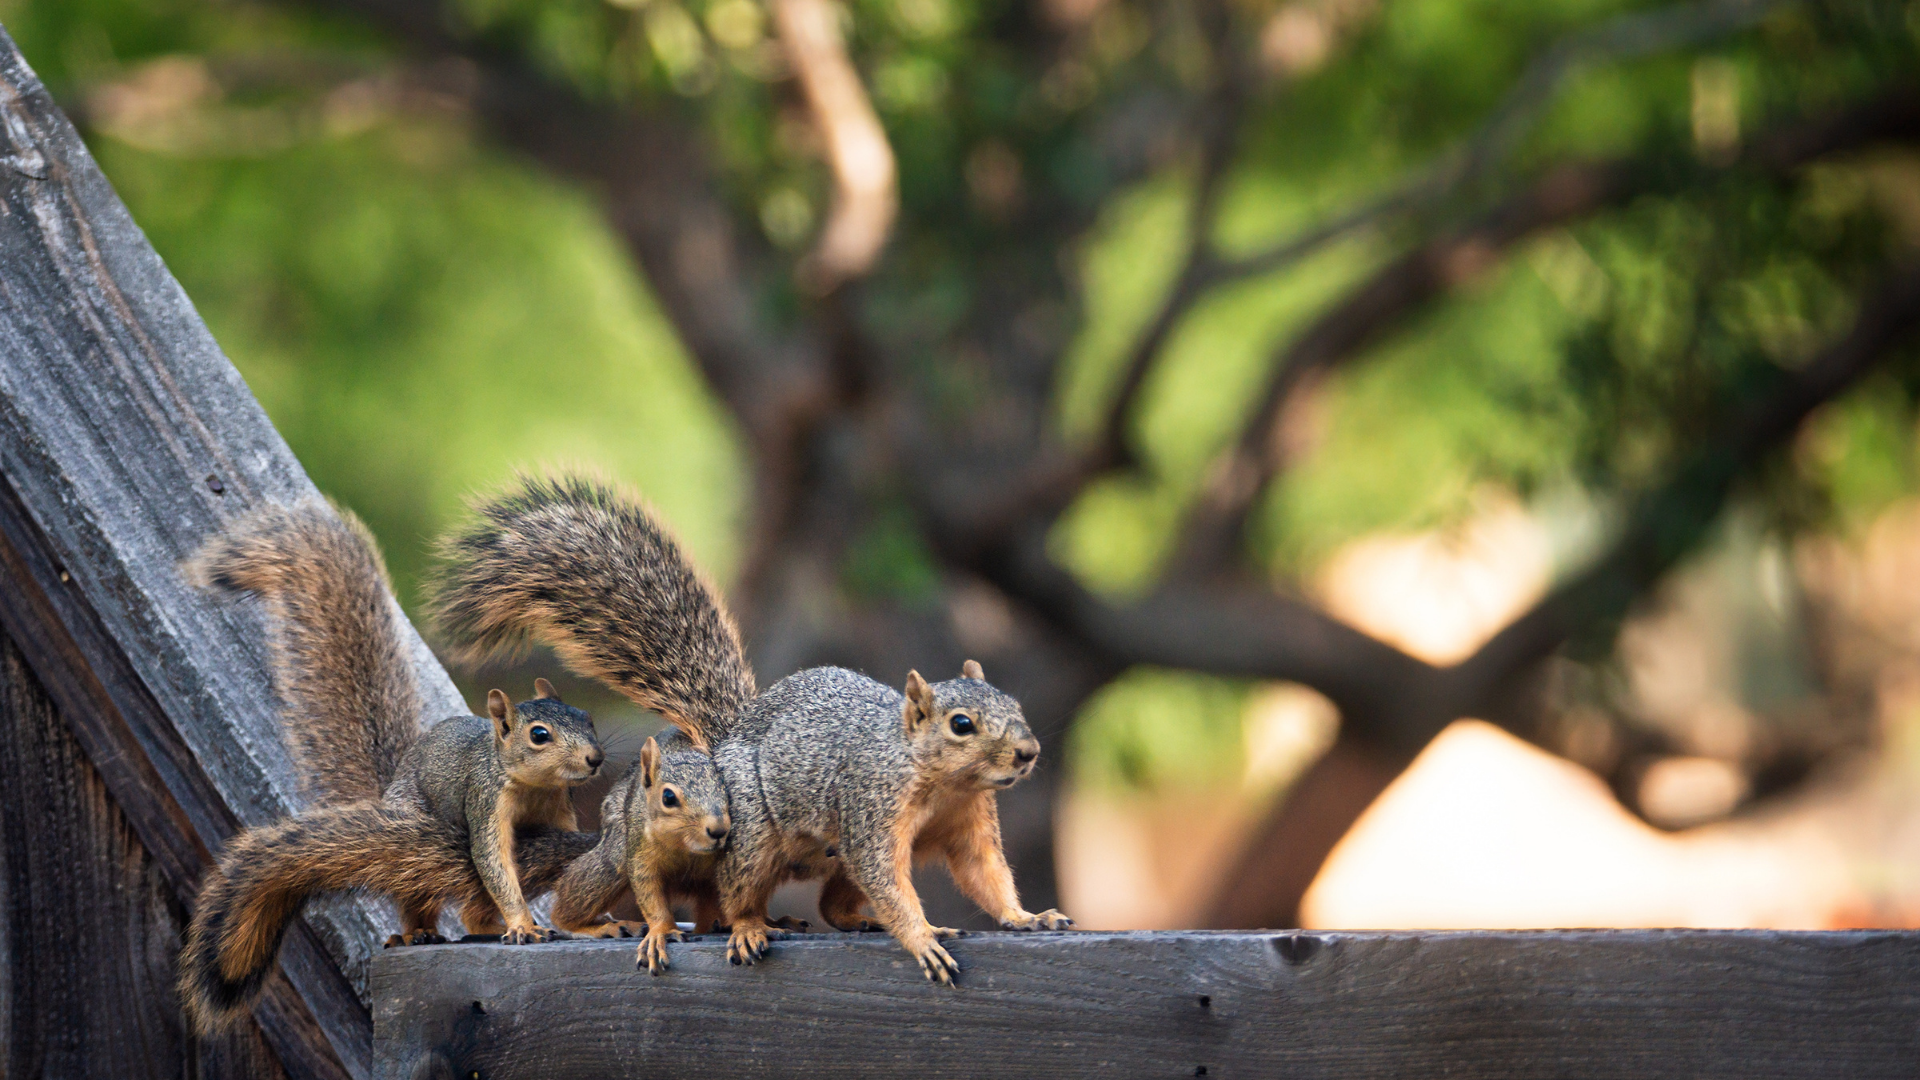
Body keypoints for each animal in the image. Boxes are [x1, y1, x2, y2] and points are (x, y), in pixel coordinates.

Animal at [177, 500, 607, 1033]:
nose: (594, 758)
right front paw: (522, 923)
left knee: (471, 912)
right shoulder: (486, 802)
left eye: (588, 718)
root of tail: (391, 786)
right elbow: (492, 862)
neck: (534, 786)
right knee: (421, 893)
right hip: (413, 830)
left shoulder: (558, 811)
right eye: (539, 735)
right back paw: (418, 932)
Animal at [430, 473, 1071, 985]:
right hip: (753, 836)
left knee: (833, 904)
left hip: (823, 856)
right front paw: (922, 938)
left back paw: (840, 919)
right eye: (962, 724)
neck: (940, 780)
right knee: (737, 891)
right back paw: (746, 926)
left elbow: (986, 875)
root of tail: (728, 733)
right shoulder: (870, 813)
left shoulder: (968, 825)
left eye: (1014, 703)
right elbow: (889, 882)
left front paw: (1026, 916)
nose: (1028, 752)